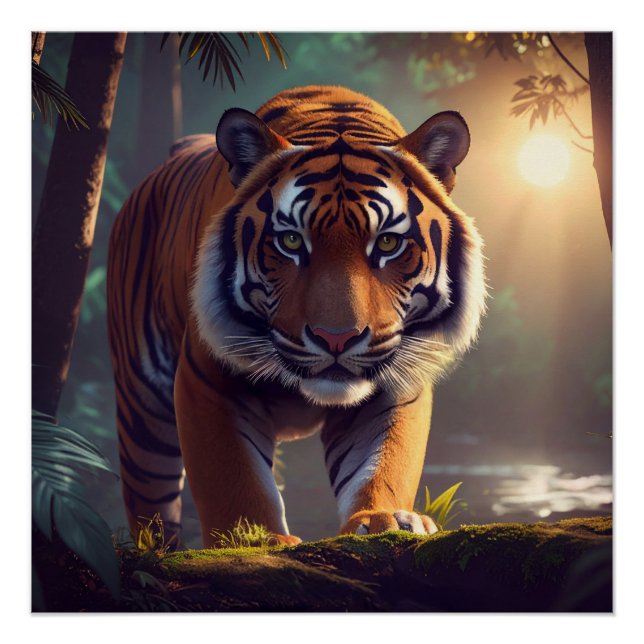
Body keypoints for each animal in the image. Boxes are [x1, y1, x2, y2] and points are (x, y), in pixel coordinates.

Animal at [107, 85, 486, 548]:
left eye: (388, 243)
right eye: (290, 241)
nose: (336, 338)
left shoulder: (394, 385)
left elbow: (384, 461)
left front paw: (384, 519)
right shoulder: (207, 381)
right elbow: (231, 477)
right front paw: (254, 539)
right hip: (144, 415)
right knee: (152, 513)